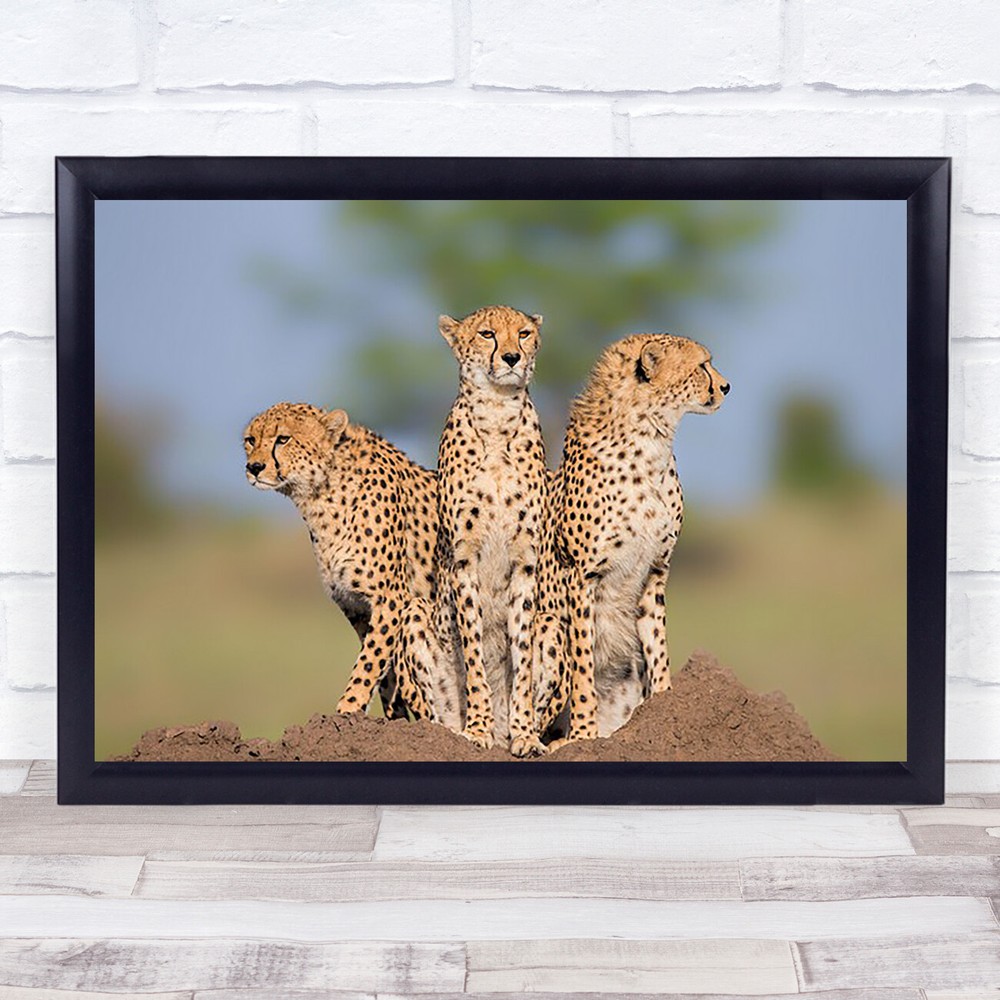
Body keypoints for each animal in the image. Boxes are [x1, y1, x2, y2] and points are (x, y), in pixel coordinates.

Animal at [242, 402, 461, 730]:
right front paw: (389, 720)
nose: (254, 467)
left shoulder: (391, 599)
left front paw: (347, 710)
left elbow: (370, 662)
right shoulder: (357, 608)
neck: (321, 493)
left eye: (283, 439)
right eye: (250, 440)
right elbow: (384, 674)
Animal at [433, 305, 549, 752]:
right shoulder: (464, 561)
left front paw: (526, 735)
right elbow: (474, 652)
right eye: (487, 334)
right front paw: (478, 728)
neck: (498, 416)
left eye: (524, 333)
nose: (512, 357)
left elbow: (523, 656)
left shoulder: (525, 562)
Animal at [555, 333, 730, 743]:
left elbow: (657, 643)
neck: (650, 440)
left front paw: (664, 704)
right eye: (703, 365)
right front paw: (583, 734)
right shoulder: (580, 576)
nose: (727, 386)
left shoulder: (655, 570)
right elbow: (582, 662)